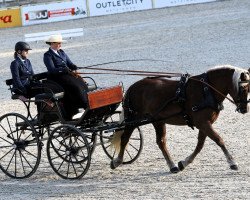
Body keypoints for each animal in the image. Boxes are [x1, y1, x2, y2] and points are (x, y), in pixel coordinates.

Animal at [110, 65, 249, 173]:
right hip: (133, 118)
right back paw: (117, 161)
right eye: (243, 88)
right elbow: (218, 140)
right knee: (125, 138)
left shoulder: (205, 124)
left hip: (158, 121)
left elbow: (200, 145)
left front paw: (184, 162)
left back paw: (172, 166)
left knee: (161, 142)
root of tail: (133, 87)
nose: (244, 109)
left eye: (249, 89)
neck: (207, 90)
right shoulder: (203, 123)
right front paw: (232, 162)